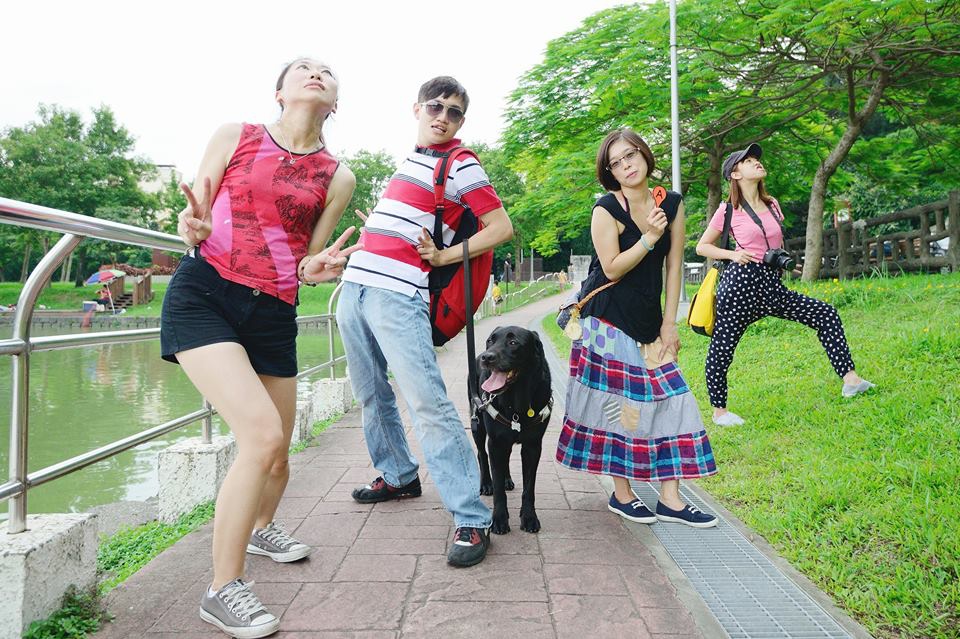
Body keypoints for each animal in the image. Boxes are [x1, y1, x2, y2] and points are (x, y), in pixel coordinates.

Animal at [474, 328, 556, 532]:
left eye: (513, 342)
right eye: (490, 341)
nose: (487, 357)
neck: (516, 404)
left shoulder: (533, 446)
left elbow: (529, 489)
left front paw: (529, 517)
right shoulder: (495, 442)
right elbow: (498, 491)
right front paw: (499, 519)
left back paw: (507, 480)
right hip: (477, 423)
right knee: (481, 453)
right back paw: (486, 484)